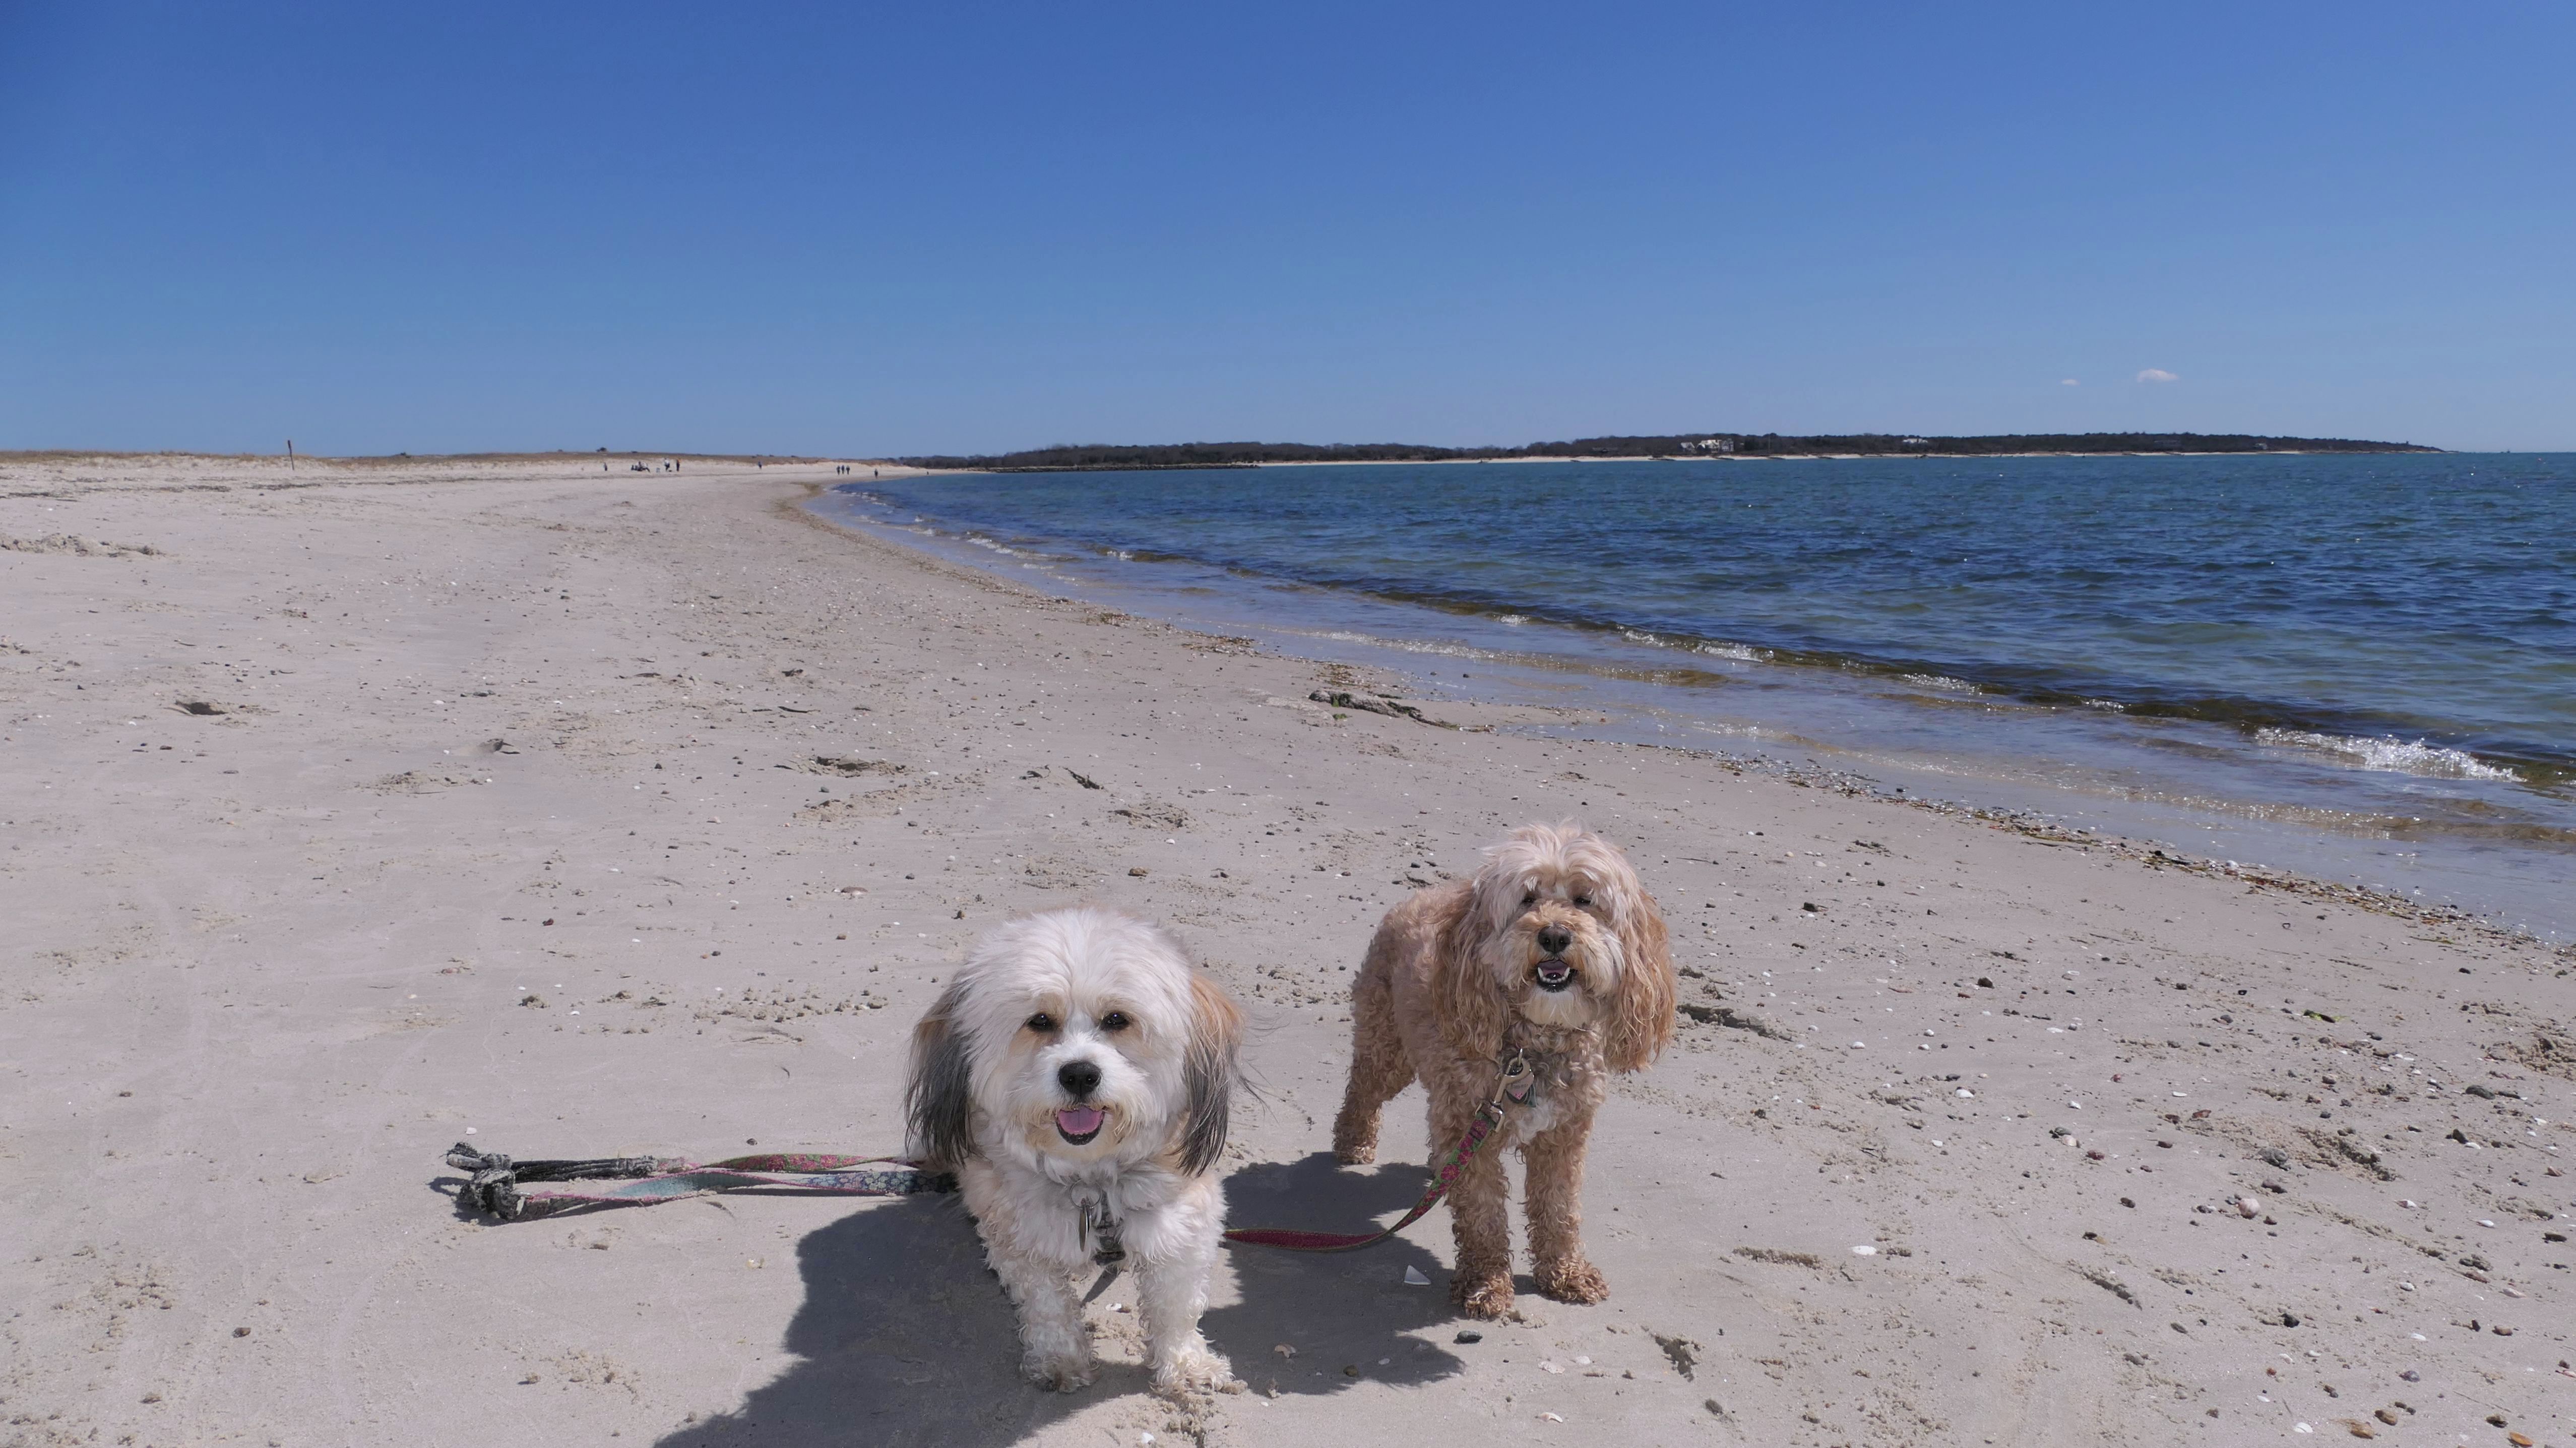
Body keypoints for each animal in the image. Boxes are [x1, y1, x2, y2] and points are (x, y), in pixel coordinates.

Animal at [906, 907, 1245, 1395]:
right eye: (1040, 1021)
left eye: (1117, 1019)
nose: (1080, 1074)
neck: (1091, 1182)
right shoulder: (1021, 1238)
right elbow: (1047, 1305)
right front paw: (1060, 1360)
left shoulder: (1182, 1225)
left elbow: (1176, 1306)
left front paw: (1186, 1365)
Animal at [1331, 821, 1675, 1318]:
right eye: (1527, 898)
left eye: (1585, 900)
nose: (1554, 936)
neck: (1533, 1046)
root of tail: (1422, 895)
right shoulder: (1472, 1126)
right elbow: (1482, 1216)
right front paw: (1486, 1282)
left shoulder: (1563, 1136)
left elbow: (1559, 1210)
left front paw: (1566, 1273)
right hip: (1388, 1048)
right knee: (1362, 1087)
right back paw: (1353, 1143)